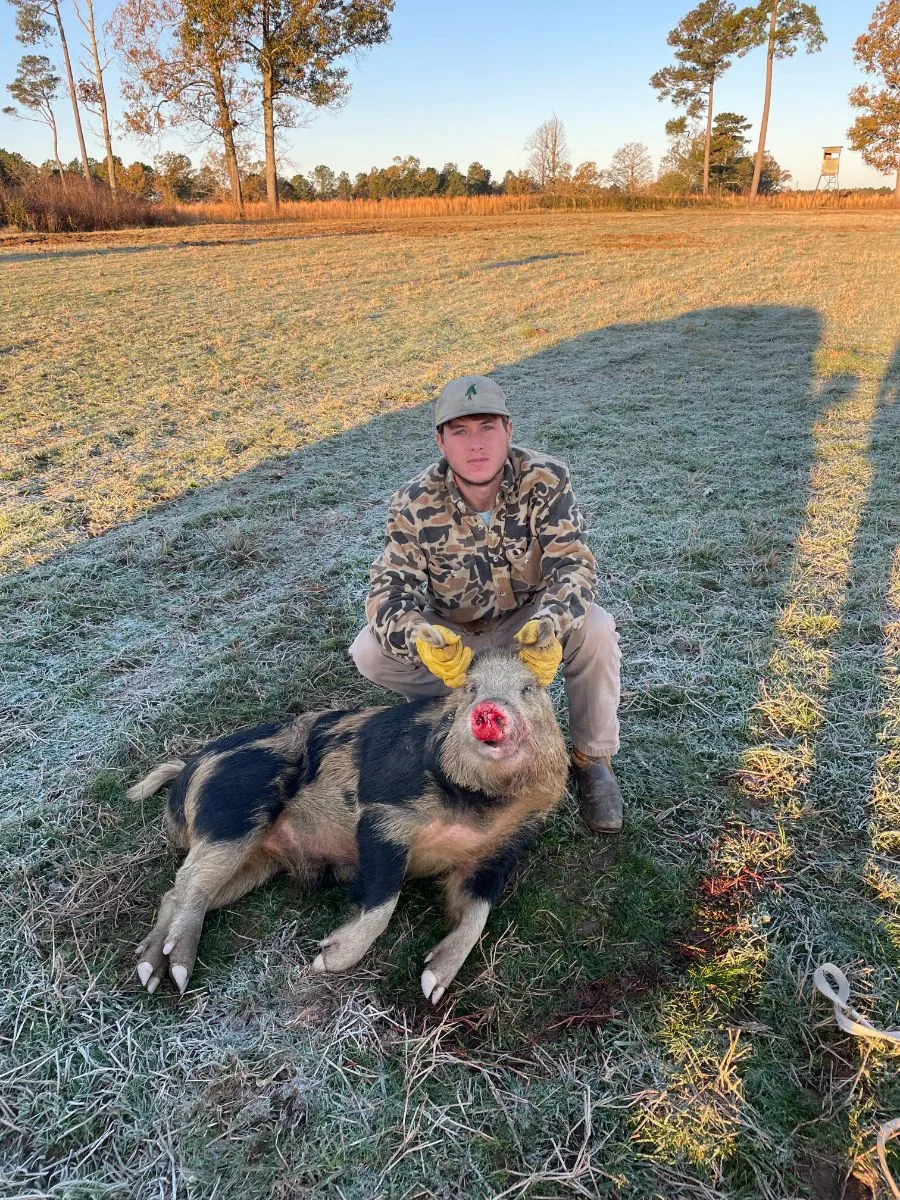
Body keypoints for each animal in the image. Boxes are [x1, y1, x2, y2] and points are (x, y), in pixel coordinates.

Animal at [128, 647, 569, 1003]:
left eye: (528, 690)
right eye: (472, 690)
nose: (490, 709)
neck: (483, 803)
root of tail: (190, 768)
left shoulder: (500, 850)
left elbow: (477, 914)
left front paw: (432, 986)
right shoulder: (383, 816)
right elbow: (383, 899)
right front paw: (324, 961)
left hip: (255, 863)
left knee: (178, 892)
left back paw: (150, 973)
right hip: (233, 814)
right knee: (191, 885)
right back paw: (177, 974)